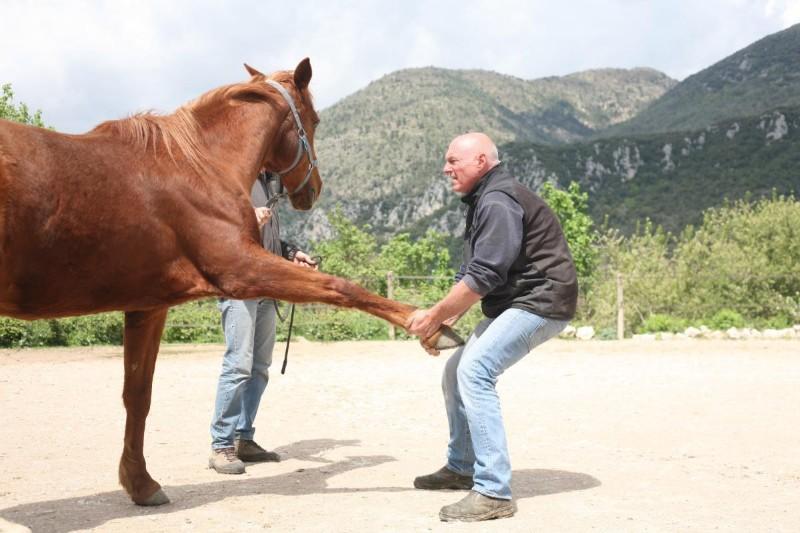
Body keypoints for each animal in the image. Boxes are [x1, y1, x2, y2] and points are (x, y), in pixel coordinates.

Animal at [0, 60, 460, 504]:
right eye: (315, 120)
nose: (313, 190)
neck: (196, 166)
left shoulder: (148, 305)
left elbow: (138, 395)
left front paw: (141, 484)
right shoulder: (242, 269)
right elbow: (341, 287)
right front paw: (432, 326)